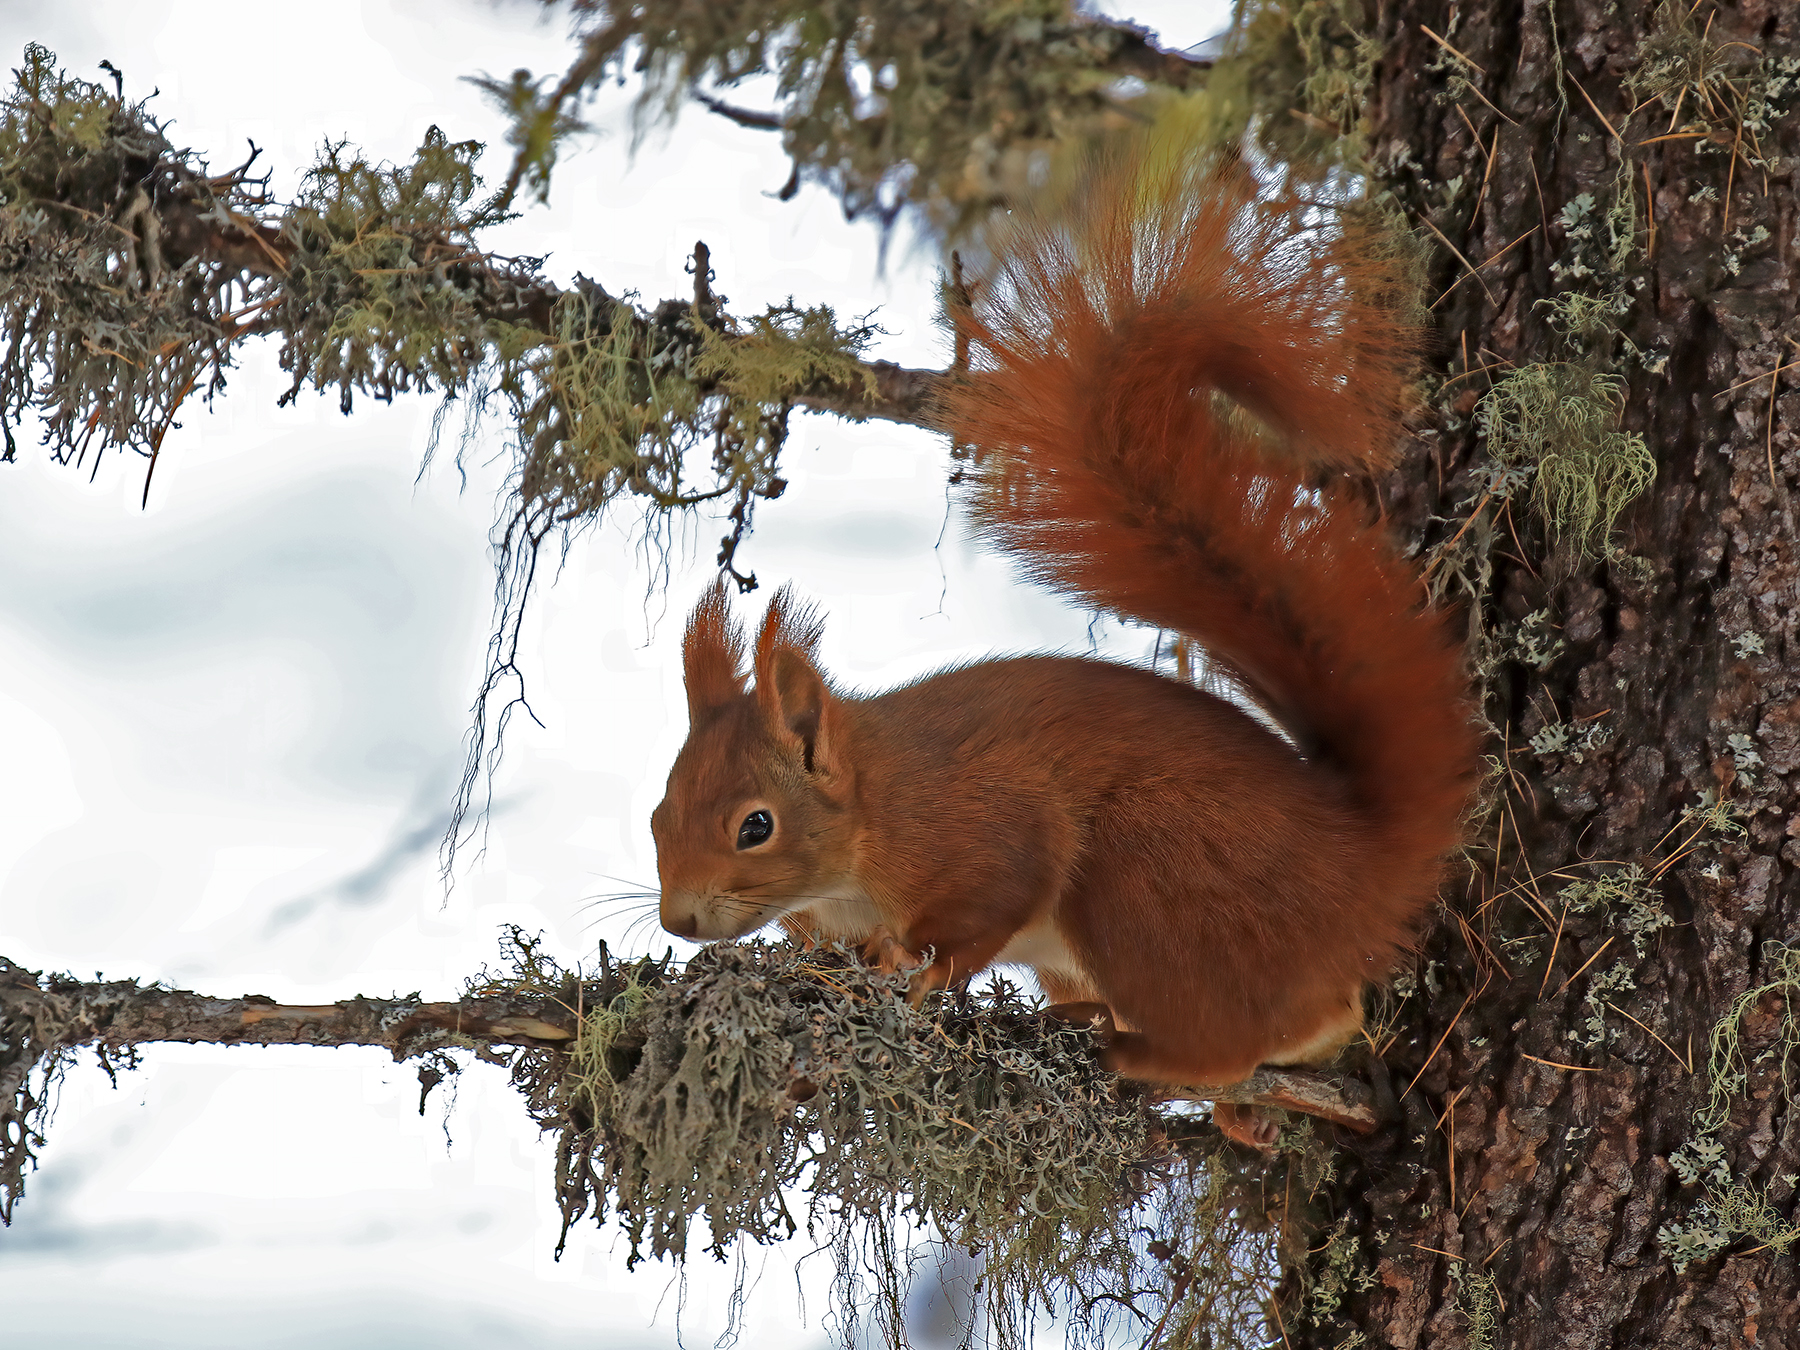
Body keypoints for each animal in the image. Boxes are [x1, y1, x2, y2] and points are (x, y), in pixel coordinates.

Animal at [650, 146, 1476, 1150]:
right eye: (657, 816)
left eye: (755, 826)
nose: (680, 921)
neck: (869, 820)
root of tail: (1363, 862)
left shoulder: (982, 823)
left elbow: (992, 899)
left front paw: (919, 962)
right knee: (1310, 1023)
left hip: (1140, 879)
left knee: (1227, 1041)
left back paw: (1140, 1053)